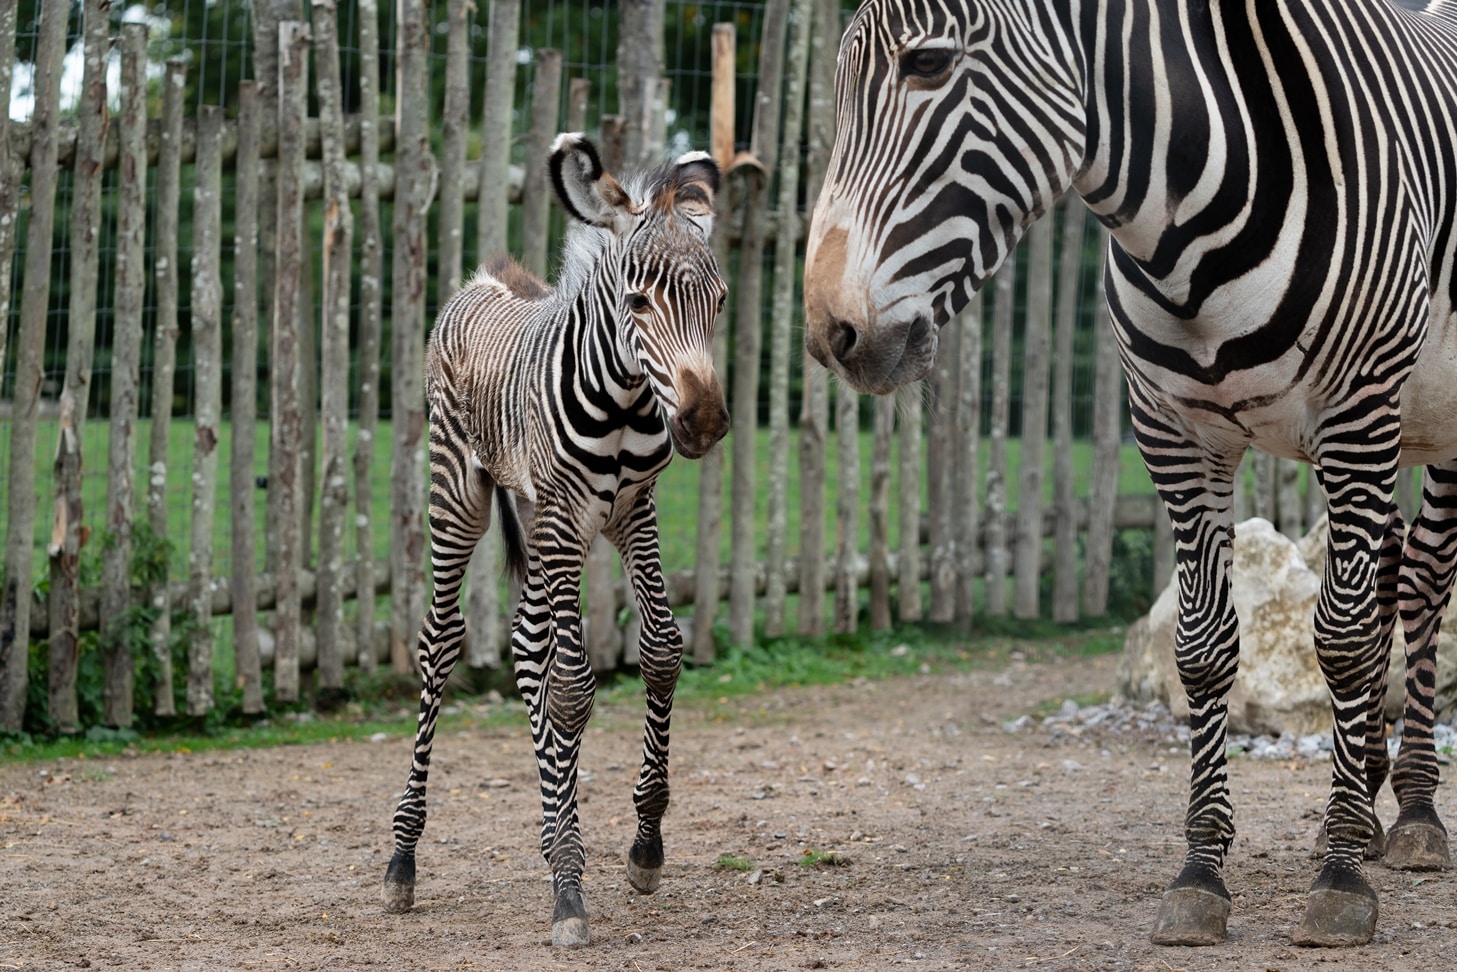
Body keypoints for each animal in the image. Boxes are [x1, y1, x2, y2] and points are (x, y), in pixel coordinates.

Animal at [384, 133, 734, 944]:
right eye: (637, 302)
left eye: (719, 301)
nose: (703, 422)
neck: (626, 399)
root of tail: (487, 276)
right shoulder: (563, 514)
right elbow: (572, 688)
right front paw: (568, 891)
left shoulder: (634, 511)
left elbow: (661, 652)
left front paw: (642, 845)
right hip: (462, 496)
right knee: (441, 643)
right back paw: (403, 858)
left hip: (536, 515)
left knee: (523, 642)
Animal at [804, 0, 1457, 950]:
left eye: (926, 64)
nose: (827, 333)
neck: (1188, 233)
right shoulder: (1172, 433)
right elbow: (1204, 648)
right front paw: (1202, 874)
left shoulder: (1357, 411)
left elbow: (1334, 640)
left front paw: (1337, 878)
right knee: (1386, 579)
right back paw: (1372, 808)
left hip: (1423, 428)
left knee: (1421, 583)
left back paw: (1411, 818)